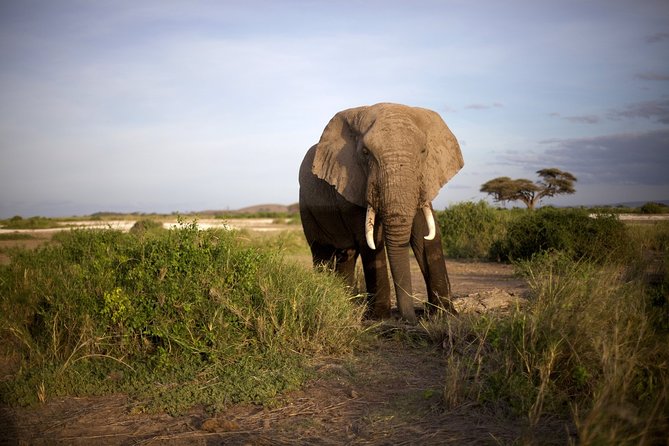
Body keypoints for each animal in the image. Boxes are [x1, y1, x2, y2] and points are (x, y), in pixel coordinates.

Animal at [298, 103, 464, 323]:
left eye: (423, 151)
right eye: (366, 152)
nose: (410, 319)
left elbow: (425, 234)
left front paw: (446, 315)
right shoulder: (351, 183)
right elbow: (371, 241)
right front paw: (380, 318)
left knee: (346, 256)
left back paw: (346, 303)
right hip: (306, 207)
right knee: (321, 253)